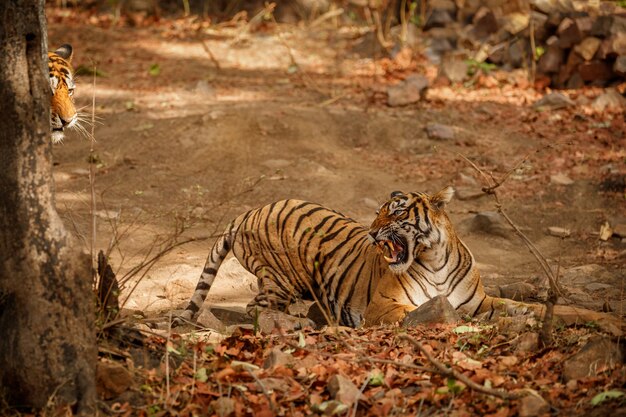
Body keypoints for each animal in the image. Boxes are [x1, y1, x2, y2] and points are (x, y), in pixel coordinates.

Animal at [176, 188, 624, 332]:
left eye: (394, 213)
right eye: (376, 214)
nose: (372, 232)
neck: (436, 258)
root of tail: (248, 211)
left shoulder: (484, 302)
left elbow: (548, 309)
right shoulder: (383, 304)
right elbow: (417, 314)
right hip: (283, 278)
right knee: (256, 308)